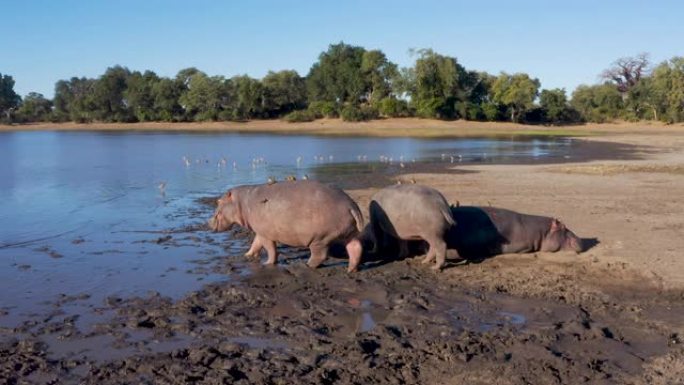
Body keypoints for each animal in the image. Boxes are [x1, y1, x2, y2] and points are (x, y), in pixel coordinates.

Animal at [208, 181, 366, 272]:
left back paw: (307, 265)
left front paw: (267, 263)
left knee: (320, 255)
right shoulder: (261, 231)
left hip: (319, 239)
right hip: (348, 233)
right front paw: (247, 255)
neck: (241, 202)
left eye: (218, 202)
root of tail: (350, 205)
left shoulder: (266, 234)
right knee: (355, 248)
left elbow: (270, 249)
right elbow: (255, 244)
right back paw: (351, 270)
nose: (208, 223)